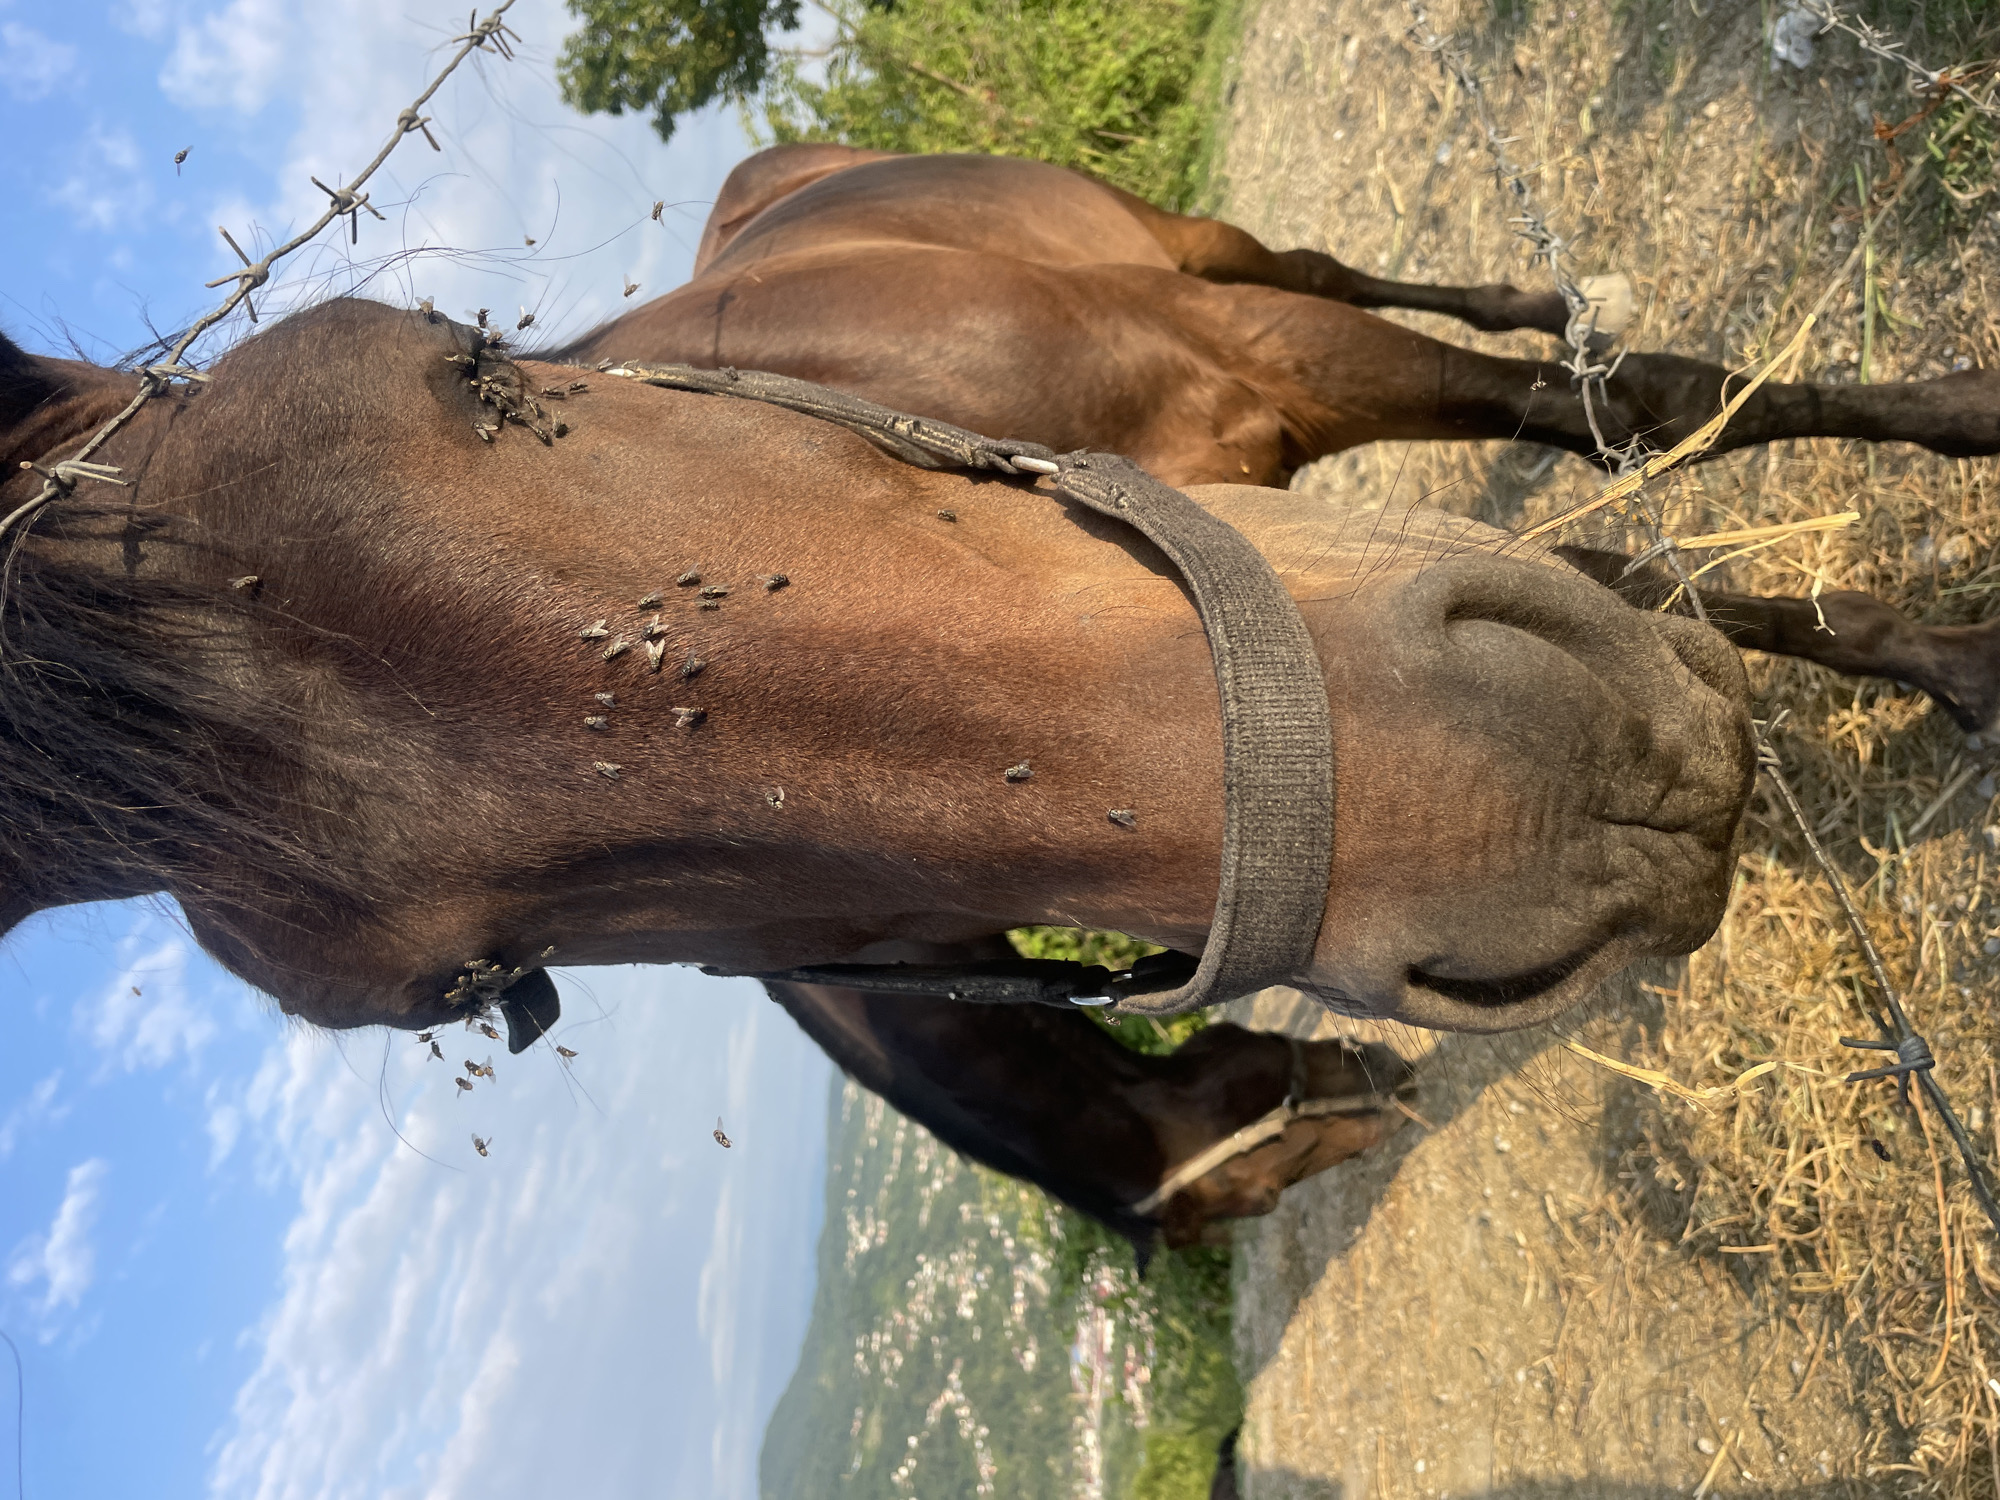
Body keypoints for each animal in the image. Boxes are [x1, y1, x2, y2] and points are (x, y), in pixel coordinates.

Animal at [543, 144, 2000, 1247]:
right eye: (1253, 1182)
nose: (1378, 1084)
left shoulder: (1269, 356)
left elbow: (1650, 402)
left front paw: (1961, 460)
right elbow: (1634, 593)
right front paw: (1936, 662)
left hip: (1203, 253)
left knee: (1322, 267)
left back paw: (1544, 302)